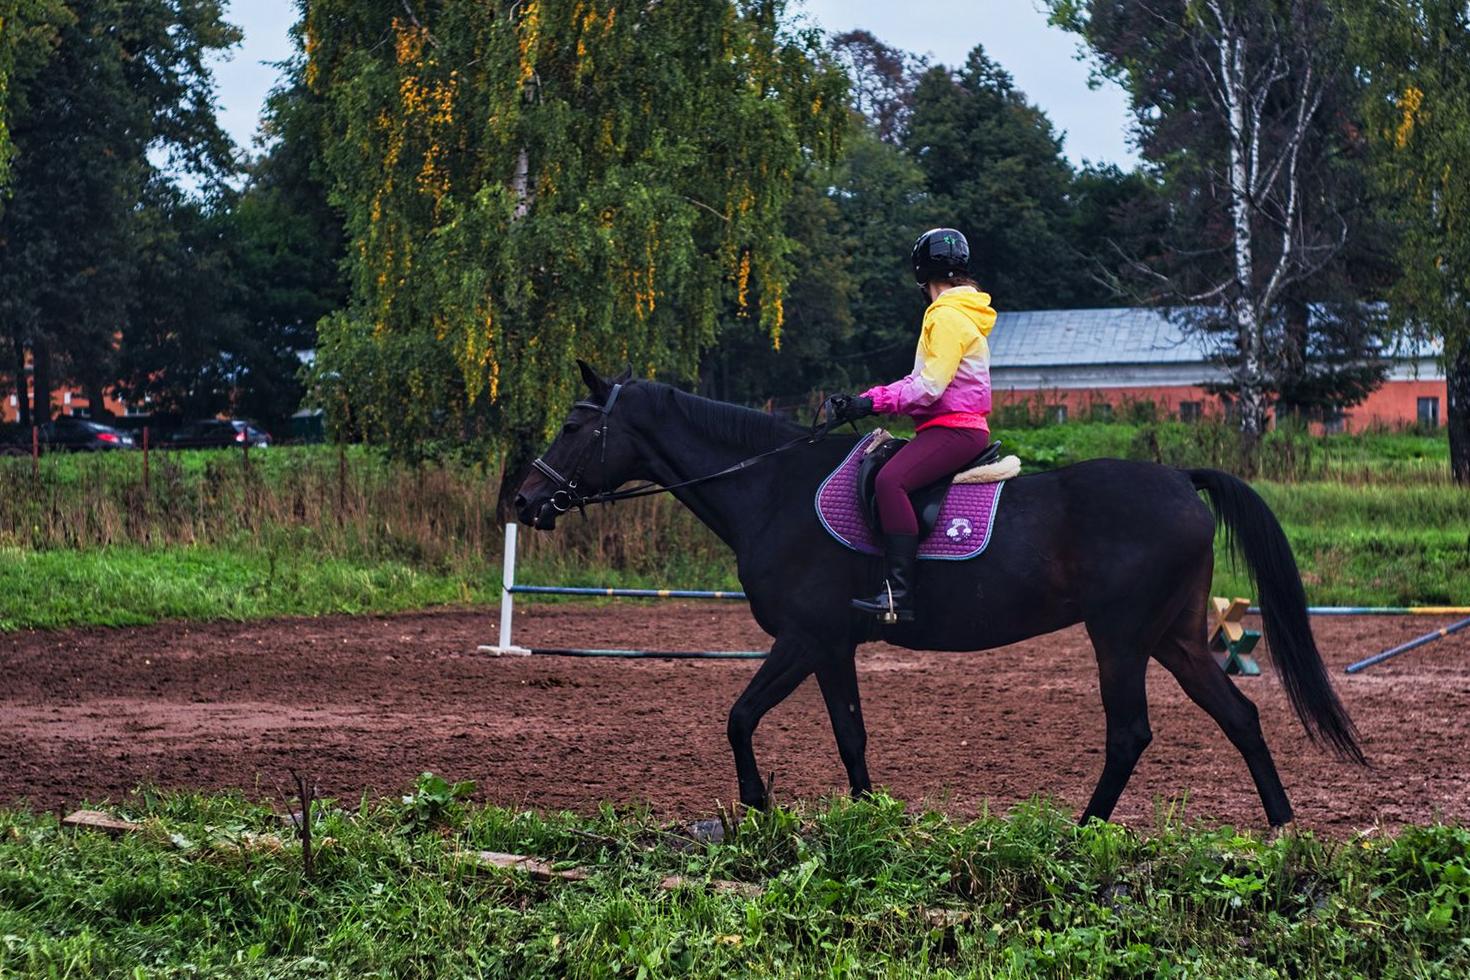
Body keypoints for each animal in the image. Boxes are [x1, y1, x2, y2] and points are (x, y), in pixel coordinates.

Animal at [515, 363, 1364, 827]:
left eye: (572, 427)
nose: (525, 501)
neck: (770, 489)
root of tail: (1181, 482)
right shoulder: (830, 646)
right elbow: (845, 733)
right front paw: (863, 816)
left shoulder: (806, 637)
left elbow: (743, 716)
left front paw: (760, 806)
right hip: (1176, 636)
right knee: (1239, 715)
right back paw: (1281, 825)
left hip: (1121, 638)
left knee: (1130, 733)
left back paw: (1085, 828)